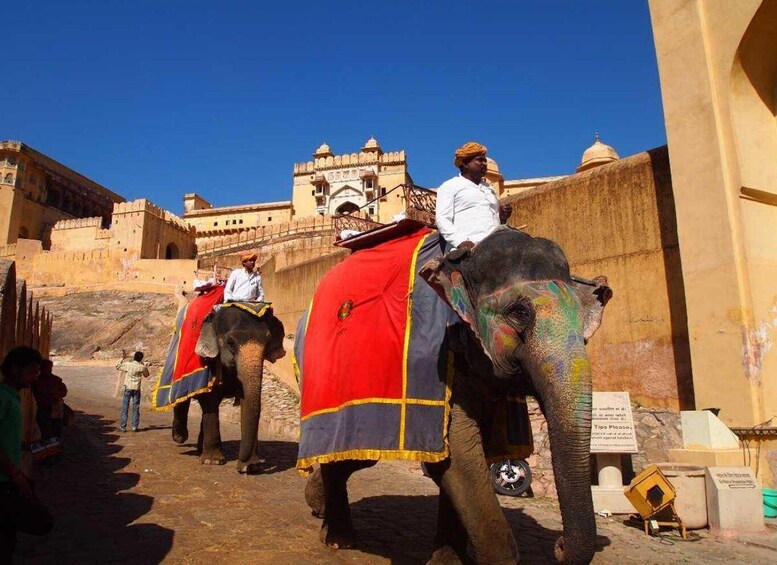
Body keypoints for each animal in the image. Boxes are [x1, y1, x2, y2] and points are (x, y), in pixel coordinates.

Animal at [171, 303, 286, 473]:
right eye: (231, 343)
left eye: (267, 341)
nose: (243, 467)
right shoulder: (210, 365)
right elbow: (210, 402)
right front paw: (213, 462)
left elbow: (247, 401)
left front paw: (251, 466)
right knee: (182, 399)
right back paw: (180, 437)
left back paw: (199, 449)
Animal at [303, 226, 611, 564]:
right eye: (519, 312)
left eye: (586, 325)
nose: (559, 545)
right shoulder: (436, 361)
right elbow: (459, 454)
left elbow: (464, 457)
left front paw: (447, 559)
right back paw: (338, 539)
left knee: (358, 455)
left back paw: (316, 503)